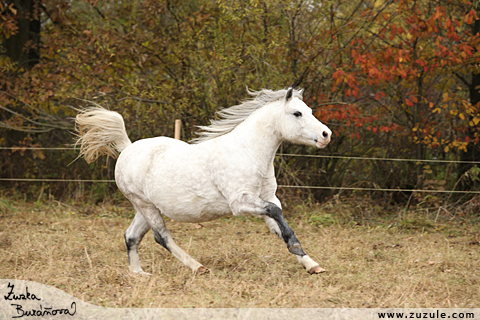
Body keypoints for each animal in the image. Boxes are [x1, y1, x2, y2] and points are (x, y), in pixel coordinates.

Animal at [76, 88, 330, 276]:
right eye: (297, 113)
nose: (326, 135)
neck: (248, 152)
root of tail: (127, 148)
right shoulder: (240, 202)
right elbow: (277, 215)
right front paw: (298, 250)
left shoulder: (267, 197)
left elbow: (279, 225)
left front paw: (312, 265)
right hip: (145, 206)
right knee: (161, 237)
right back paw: (197, 267)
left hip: (145, 207)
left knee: (131, 236)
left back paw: (139, 274)